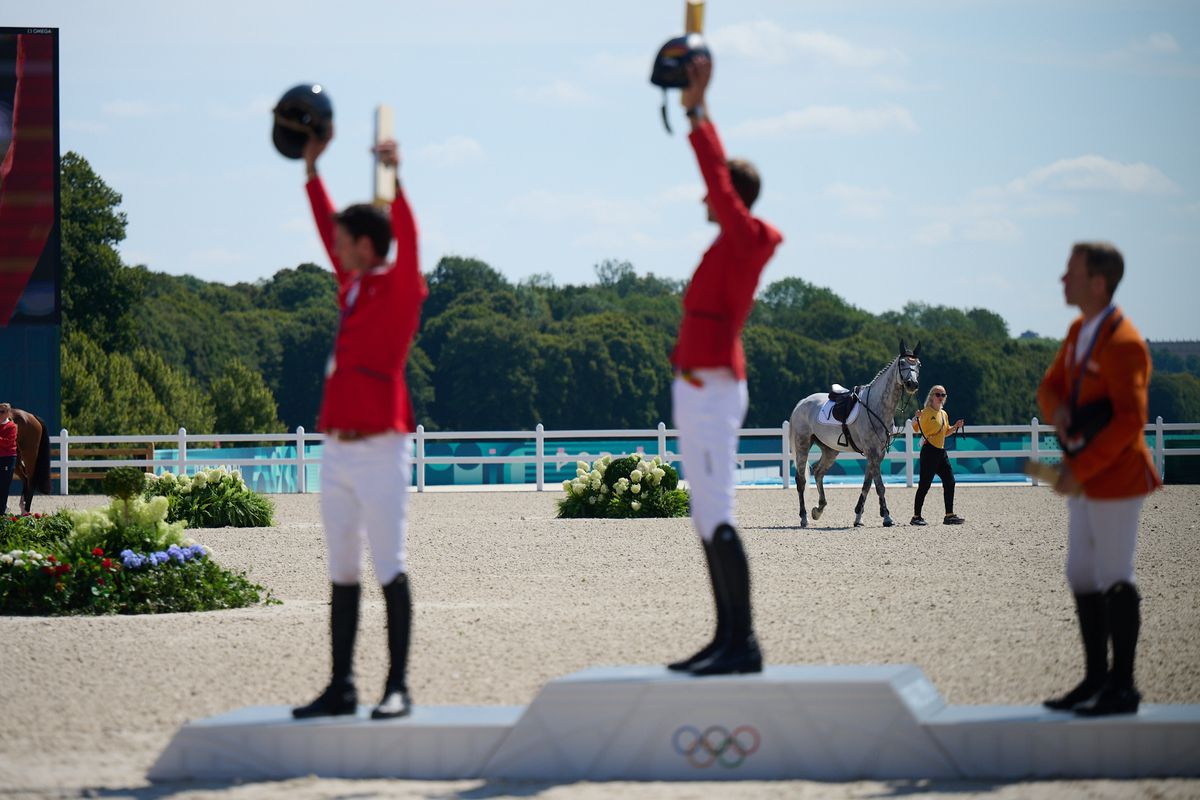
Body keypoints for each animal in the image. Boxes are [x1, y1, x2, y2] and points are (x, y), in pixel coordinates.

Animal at [787, 340, 916, 527]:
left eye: (918, 364)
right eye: (903, 363)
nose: (912, 384)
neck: (877, 405)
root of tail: (801, 403)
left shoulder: (878, 454)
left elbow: (867, 484)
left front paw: (858, 517)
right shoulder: (872, 452)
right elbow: (879, 485)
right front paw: (886, 517)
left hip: (830, 450)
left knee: (818, 472)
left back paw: (818, 509)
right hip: (803, 444)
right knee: (801, 480)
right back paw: (804, 517)